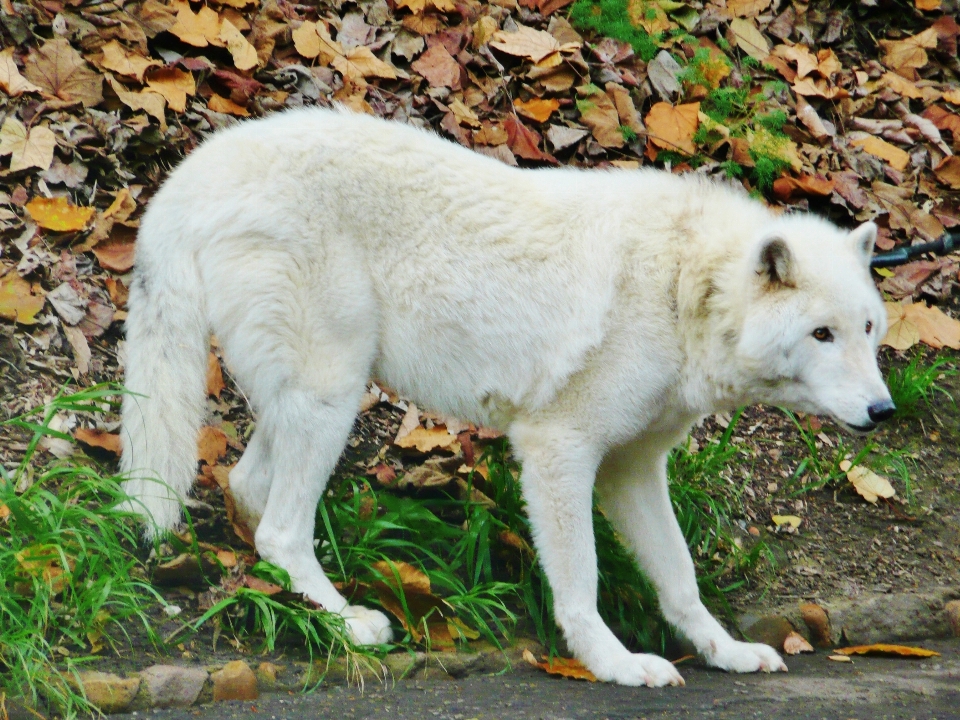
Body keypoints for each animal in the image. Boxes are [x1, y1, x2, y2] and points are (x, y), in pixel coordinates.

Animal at [120, 107, 892, 688]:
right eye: (821, 334)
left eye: (867, 328)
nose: (884, 412)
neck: (683, 287)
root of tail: (194, 170)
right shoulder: (559, 451)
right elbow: (580, 582)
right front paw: (615, 664)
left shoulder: (633, 467)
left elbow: (680, 576)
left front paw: (723, 651)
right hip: (331, 394)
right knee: (281, 528)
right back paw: (347, 624)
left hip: (316, 394)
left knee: (249, 491)